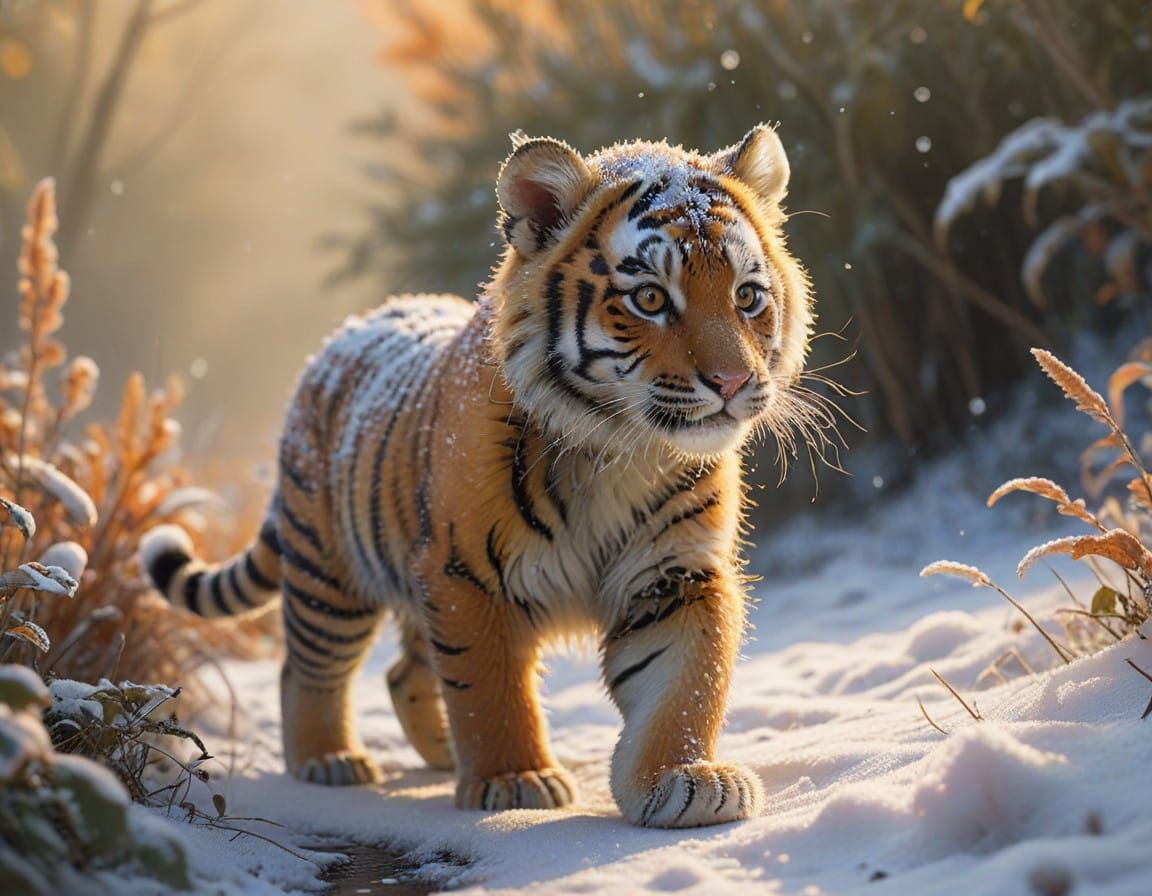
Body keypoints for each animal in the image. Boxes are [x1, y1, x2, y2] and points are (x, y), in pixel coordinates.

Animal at [140, 124, 815, 829]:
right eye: (650, 298)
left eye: (747, 296)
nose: (732, 382)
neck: (618, 451)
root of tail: (340, 340)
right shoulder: (464, 573)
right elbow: (486, 686)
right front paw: (514, 780)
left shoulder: (675, 574)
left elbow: (683, 683)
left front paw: (685, 779)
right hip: (329, 575)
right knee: (308, 669)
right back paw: (329, 760)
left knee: (404, 673)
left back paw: (440, 754)